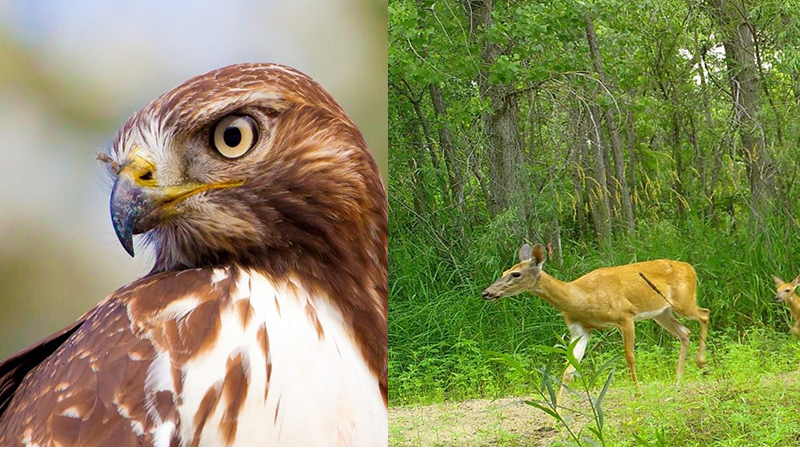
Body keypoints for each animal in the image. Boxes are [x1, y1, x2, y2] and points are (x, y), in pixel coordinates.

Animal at [484, 244, 708, 406]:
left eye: (516, 274)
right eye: (504, 271)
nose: (486, 292)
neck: (580, 297)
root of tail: (691, 268)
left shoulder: (625, 316)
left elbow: (629, 357)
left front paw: (638, 393)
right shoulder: (580, 329)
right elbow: (569, 369)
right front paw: (556, 413)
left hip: (683, 302)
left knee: (704, 314)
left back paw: (700, 362)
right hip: (662, 312)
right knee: (685, 332)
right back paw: (677, 382)